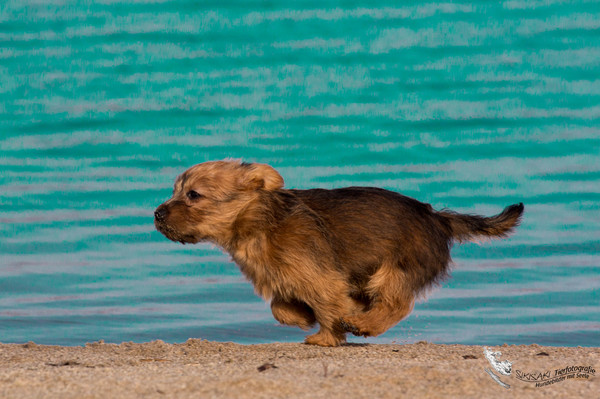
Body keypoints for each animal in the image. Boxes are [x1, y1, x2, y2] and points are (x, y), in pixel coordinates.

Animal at [155, 160, 524, 346]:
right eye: (176, 191)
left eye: (193, 195)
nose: (156, 213)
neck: (258, 222)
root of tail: (436, 216)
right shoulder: (283, 278)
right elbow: (280, 309)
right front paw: (302, 316)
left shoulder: (322, 279)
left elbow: (328, 307)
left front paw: (327, 338)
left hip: (396, 268)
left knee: (397, 303)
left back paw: (365, 324)